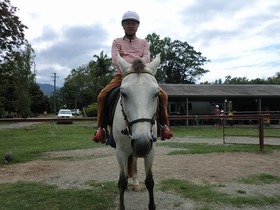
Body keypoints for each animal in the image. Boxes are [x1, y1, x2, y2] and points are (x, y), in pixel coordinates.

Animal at [111, 53, 160, 209]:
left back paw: (136, 182)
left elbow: (150, 181)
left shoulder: (151, 149)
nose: (141, 144)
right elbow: (122, 182)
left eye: (156, 93)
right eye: (123, 93)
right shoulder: (120, 151)